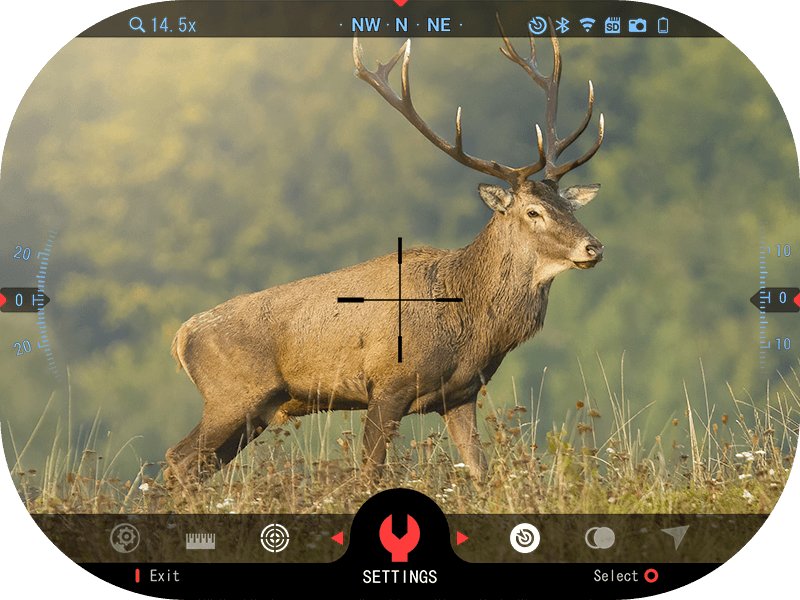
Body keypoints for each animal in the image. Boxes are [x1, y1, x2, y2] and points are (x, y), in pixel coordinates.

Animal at [164, 21, 605, 489]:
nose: (593, 247)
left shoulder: (460, 394)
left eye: (571, 207)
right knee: (178, 458)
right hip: (233, 396)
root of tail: (181, 337)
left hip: (256, 411)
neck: (469, 324)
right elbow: (370, 473)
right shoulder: (387, 385)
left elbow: (480, 472)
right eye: (532, 211)